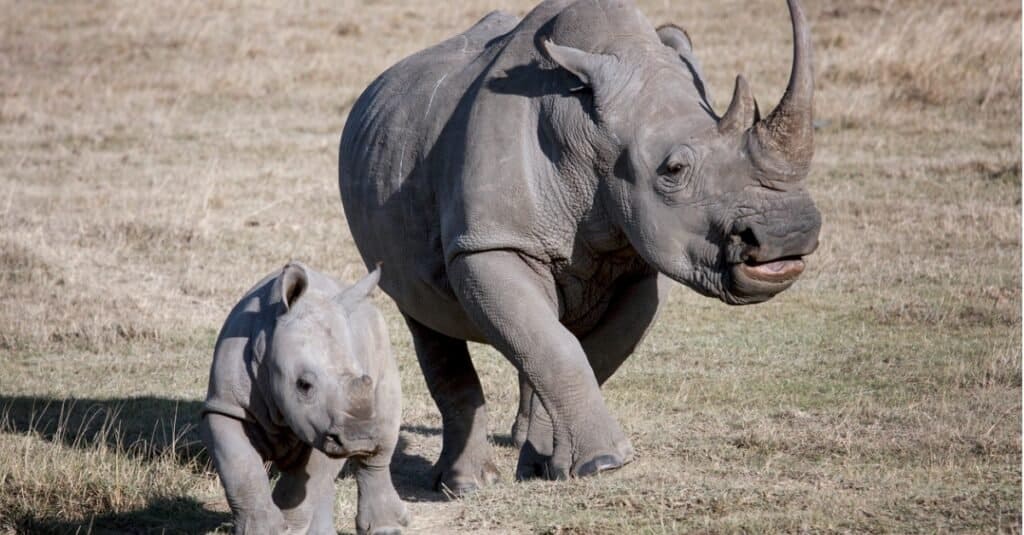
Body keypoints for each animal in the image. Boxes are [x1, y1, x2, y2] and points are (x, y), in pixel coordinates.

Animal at [199, 262, 407, 532]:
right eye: (303, 385)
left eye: (365, 378)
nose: (358, 439)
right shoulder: (225, 405)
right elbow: (242, 470)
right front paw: (265, 529)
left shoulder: (325, 428)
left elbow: (305, 483)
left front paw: (288, 526)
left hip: (382, 342)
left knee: (380, 442)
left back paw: (387, 528)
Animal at [339, 0, 819, 491]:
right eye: (674, 170)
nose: (788, 235)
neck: (591, 139)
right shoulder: (488, 244)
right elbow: (559, 348)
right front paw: (605, 463)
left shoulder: (644, 262)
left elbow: (587, 351)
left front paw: (547, 465)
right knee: (426, 318)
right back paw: (466, 485)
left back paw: (515, 448)